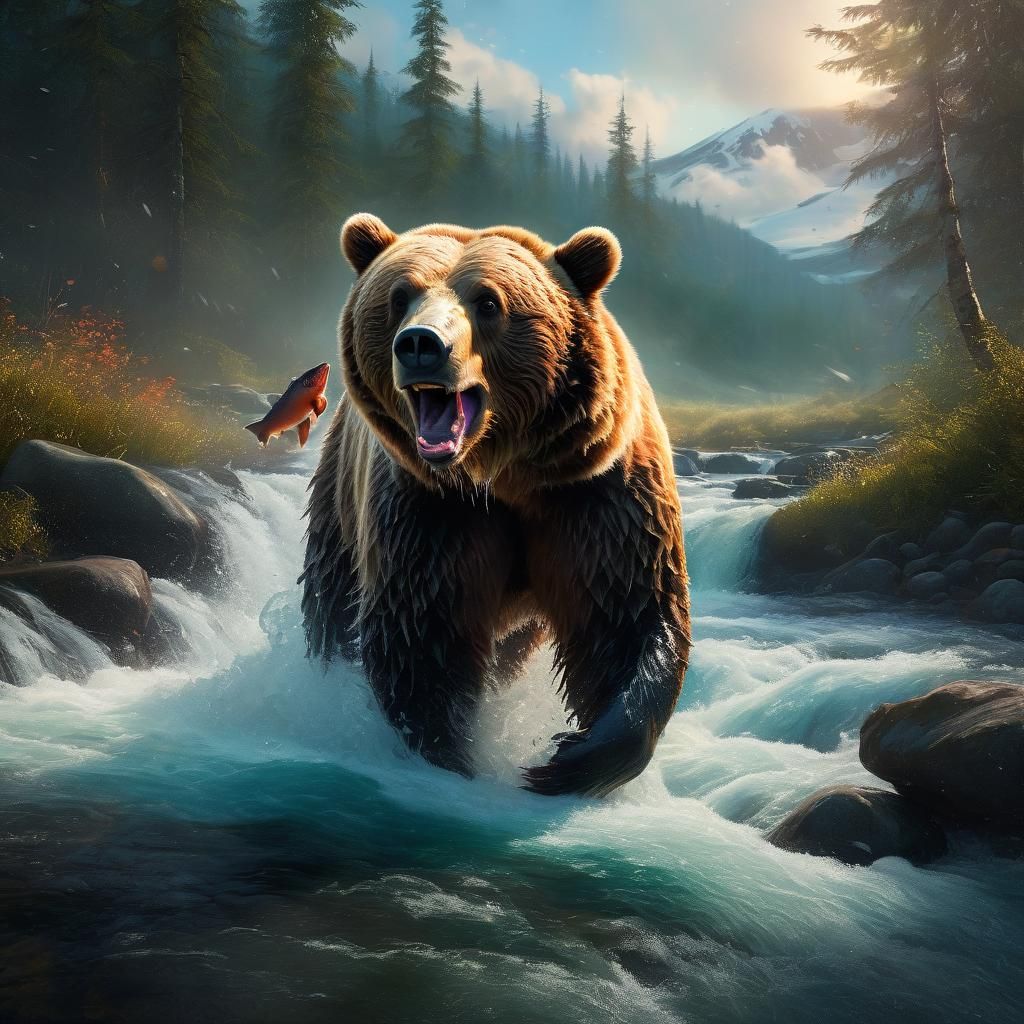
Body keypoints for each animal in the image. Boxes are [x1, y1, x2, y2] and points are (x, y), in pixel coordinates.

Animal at [301, 213, 691, 796]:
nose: (420, 343)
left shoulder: (596, 493)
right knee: (333, 594)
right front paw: (459, 757)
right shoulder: (432, 510)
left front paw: (565, 760)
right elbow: (423, 631)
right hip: (340, 491)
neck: (504, 475)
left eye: (488, 302)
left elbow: (626, 613)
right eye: (399, 296)